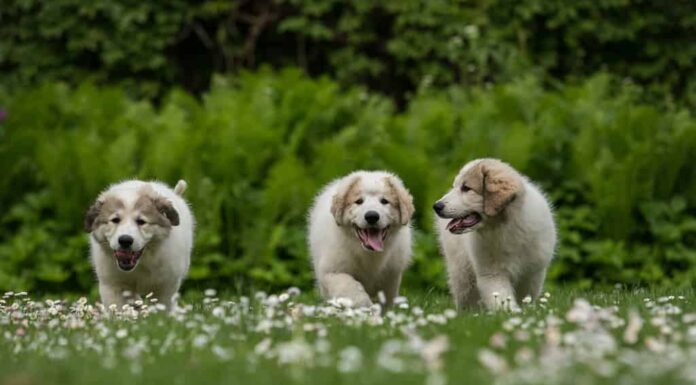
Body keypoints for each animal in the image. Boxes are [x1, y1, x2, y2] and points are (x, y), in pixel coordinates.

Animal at [84, 180, 194, 308]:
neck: (140, 264)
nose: (125, 240)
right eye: (115, 220)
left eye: (141, 221)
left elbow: (162, 306)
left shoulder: (166, 286)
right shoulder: (112, 285)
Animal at [308, 170, 414, 306]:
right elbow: (349, 286)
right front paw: (363, 304)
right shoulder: (331, 272)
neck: (367, 252)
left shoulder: (391, 277)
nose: (372, 216)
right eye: (359, 201)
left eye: (384, 201)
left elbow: (386, 301)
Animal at [432, 159, 556, 312]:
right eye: (456, 186)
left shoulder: (532, 272)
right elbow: (500, 296)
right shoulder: (492, 273)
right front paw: (509, 313)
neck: (503, 227)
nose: (436, 206)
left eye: (466, 188)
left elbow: (525, 294)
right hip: (461, 269)